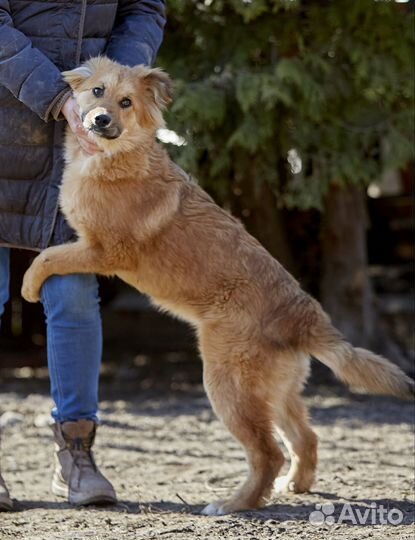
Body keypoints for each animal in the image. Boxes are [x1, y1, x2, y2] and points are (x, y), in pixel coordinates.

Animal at [22, 57, 415, 516]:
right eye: (98, 92)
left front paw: (29, 286)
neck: (121, 155)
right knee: (305, 437)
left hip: (227, 384)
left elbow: (48, 257)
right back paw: (295, 486)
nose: (101, 120)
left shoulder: (104, 252)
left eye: (126, 102)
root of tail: (304, 316)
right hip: (276, 392)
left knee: (268, 452)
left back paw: (233, 505)